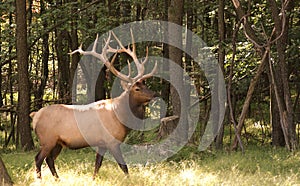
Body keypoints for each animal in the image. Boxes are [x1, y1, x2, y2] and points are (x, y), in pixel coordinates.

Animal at [29, 30, 158, 179]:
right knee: (38, 159)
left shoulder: (101, 143)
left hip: (57, 143)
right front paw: (129, 180)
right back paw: (41, 179)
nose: (154, 94)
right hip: (47, 139)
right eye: (137, 88)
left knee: (49, 159)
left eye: (145, 84)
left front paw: (93, 179)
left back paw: (57, 180)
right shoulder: (111, 141)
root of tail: (35, 115)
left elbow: (97, 164)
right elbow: (123, 166)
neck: (120, 117)